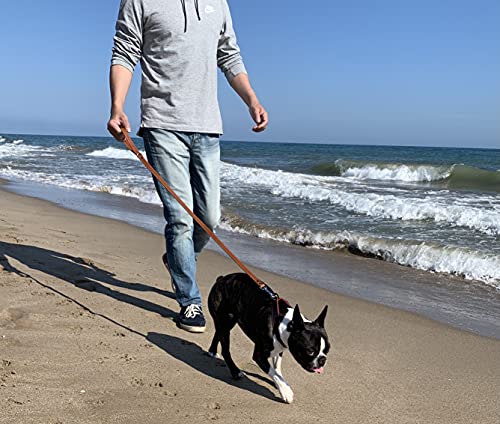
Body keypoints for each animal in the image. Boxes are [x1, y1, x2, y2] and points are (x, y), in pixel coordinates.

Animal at [206, 274, 328, 402]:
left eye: (327, 350)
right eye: (310, 351)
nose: (323, 360)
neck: (282, 322)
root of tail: (222, 279)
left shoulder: (279, 347)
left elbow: (277, 368)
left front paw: (280, 384)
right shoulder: (259, 355)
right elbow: (272, 372)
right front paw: (285, 391)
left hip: (227, 322)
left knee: (218, 332)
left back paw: (212, 351)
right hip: (225, 319)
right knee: (225, 349)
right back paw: (235, 372)